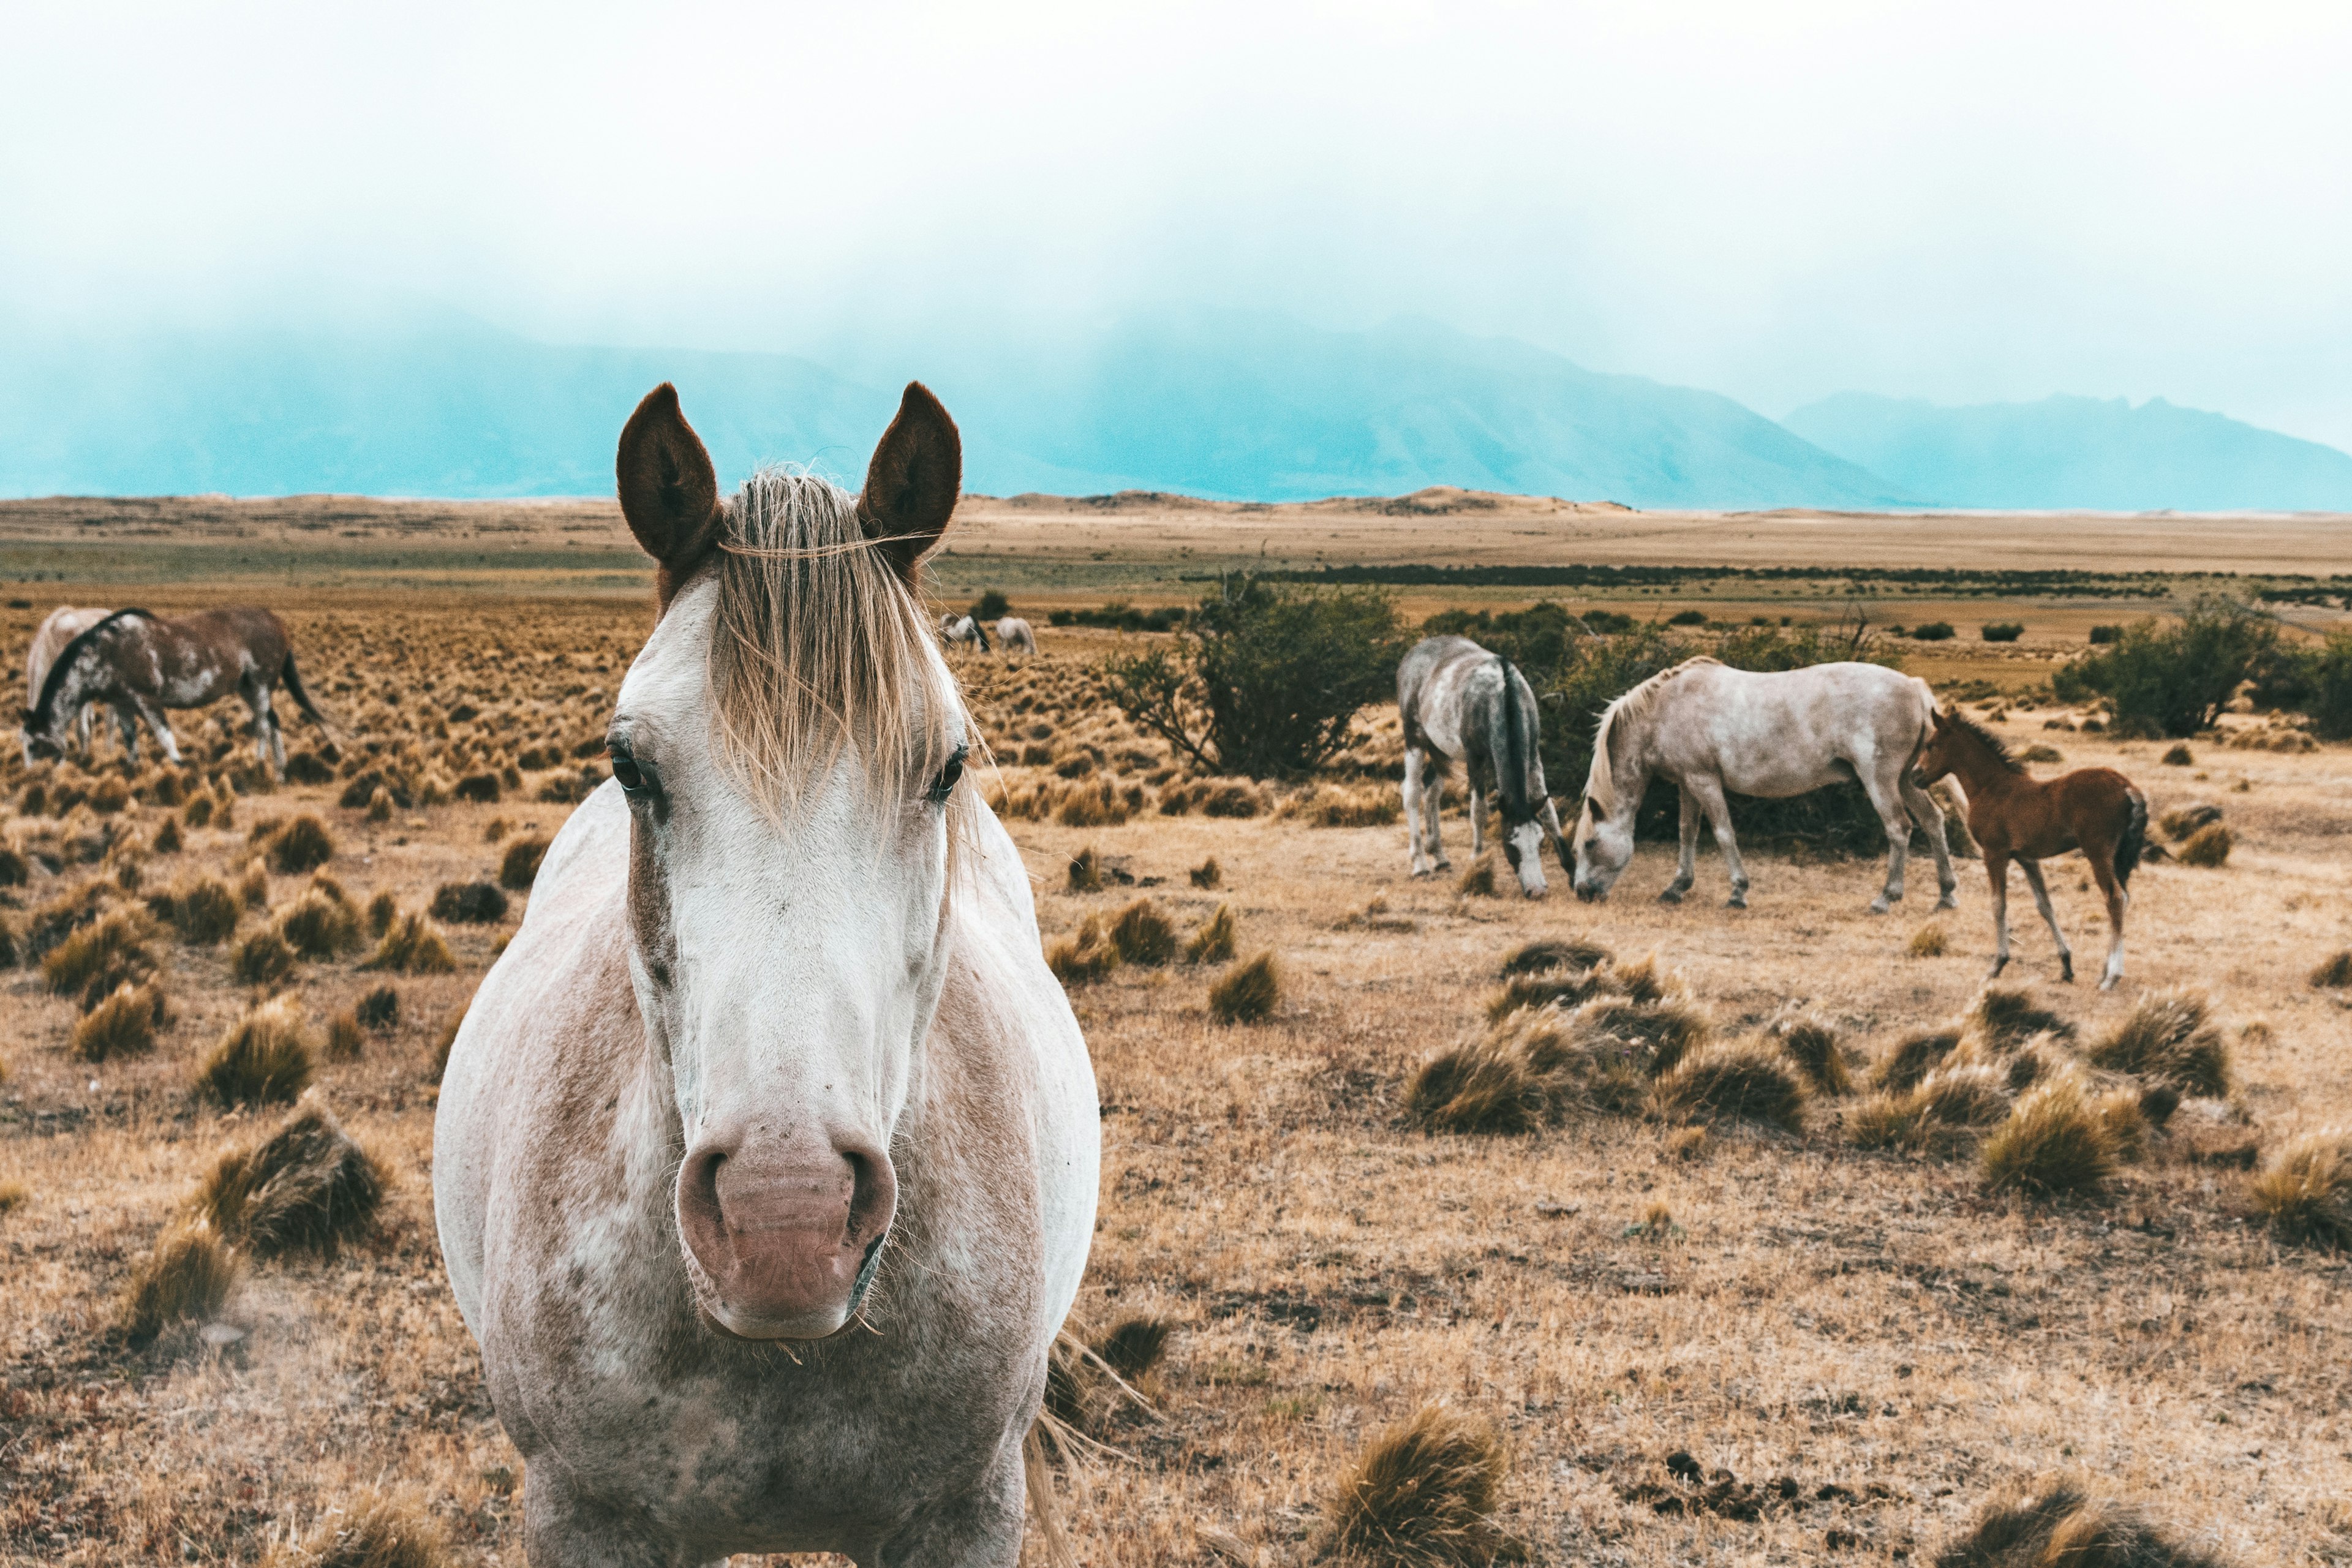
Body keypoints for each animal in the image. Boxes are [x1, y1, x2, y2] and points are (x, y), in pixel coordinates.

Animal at [19, 611, 331, 785]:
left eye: (34, 745)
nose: (31, 779)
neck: (108, 652)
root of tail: (277, 623)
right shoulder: (123, 704)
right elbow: (130, 742)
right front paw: (133, 773)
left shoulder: (148, 701)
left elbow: (165, 737)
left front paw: (180, 771)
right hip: (248, 689)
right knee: (273, 721)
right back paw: (279, 773)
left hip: (260, 685)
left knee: (264, 727)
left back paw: (258, 767)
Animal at [1392, 630, 1561, 893]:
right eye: (1510, 843)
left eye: (1540, 841)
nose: (1536, 890)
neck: (1500, 694)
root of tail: (1412, 654)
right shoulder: (1476, 759)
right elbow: (1479, 810)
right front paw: (1478, 861)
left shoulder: (1534, 756)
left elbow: (1549, 812)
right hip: (1415, 740)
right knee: (1411, 792)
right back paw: (1420, 863)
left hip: (1443, 750)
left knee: (1432, 792)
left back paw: (1439, 856)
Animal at [1571, 658, 1956, 912]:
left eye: (1589, 844)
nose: (1582, 892)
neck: (1665, 709)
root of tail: (1914, 687)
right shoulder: (1687, 784)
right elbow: (1687, 832)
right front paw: (1677, 888)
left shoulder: (1704, 780)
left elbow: (1723, 833)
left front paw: (1738, 892)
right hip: (1907, 780)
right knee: (1933, 820)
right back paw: (1946, 895)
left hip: (1880, 779)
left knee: (1899, 828)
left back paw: (1886, 898)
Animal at [1910, 714, 2154, 992]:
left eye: (1930, 745)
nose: (1914, 776)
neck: (1991, 787)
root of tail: (2127, 787)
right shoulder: (2027, 858)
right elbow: (2045, 905)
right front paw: (2066, 965)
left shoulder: (1994, 854)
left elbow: (1998, 904)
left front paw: (1996, 966)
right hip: (2119, 858)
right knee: (2124, 898)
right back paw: (2104, 971)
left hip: (2098, 853)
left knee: (2114, 899)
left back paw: (2111, 977)